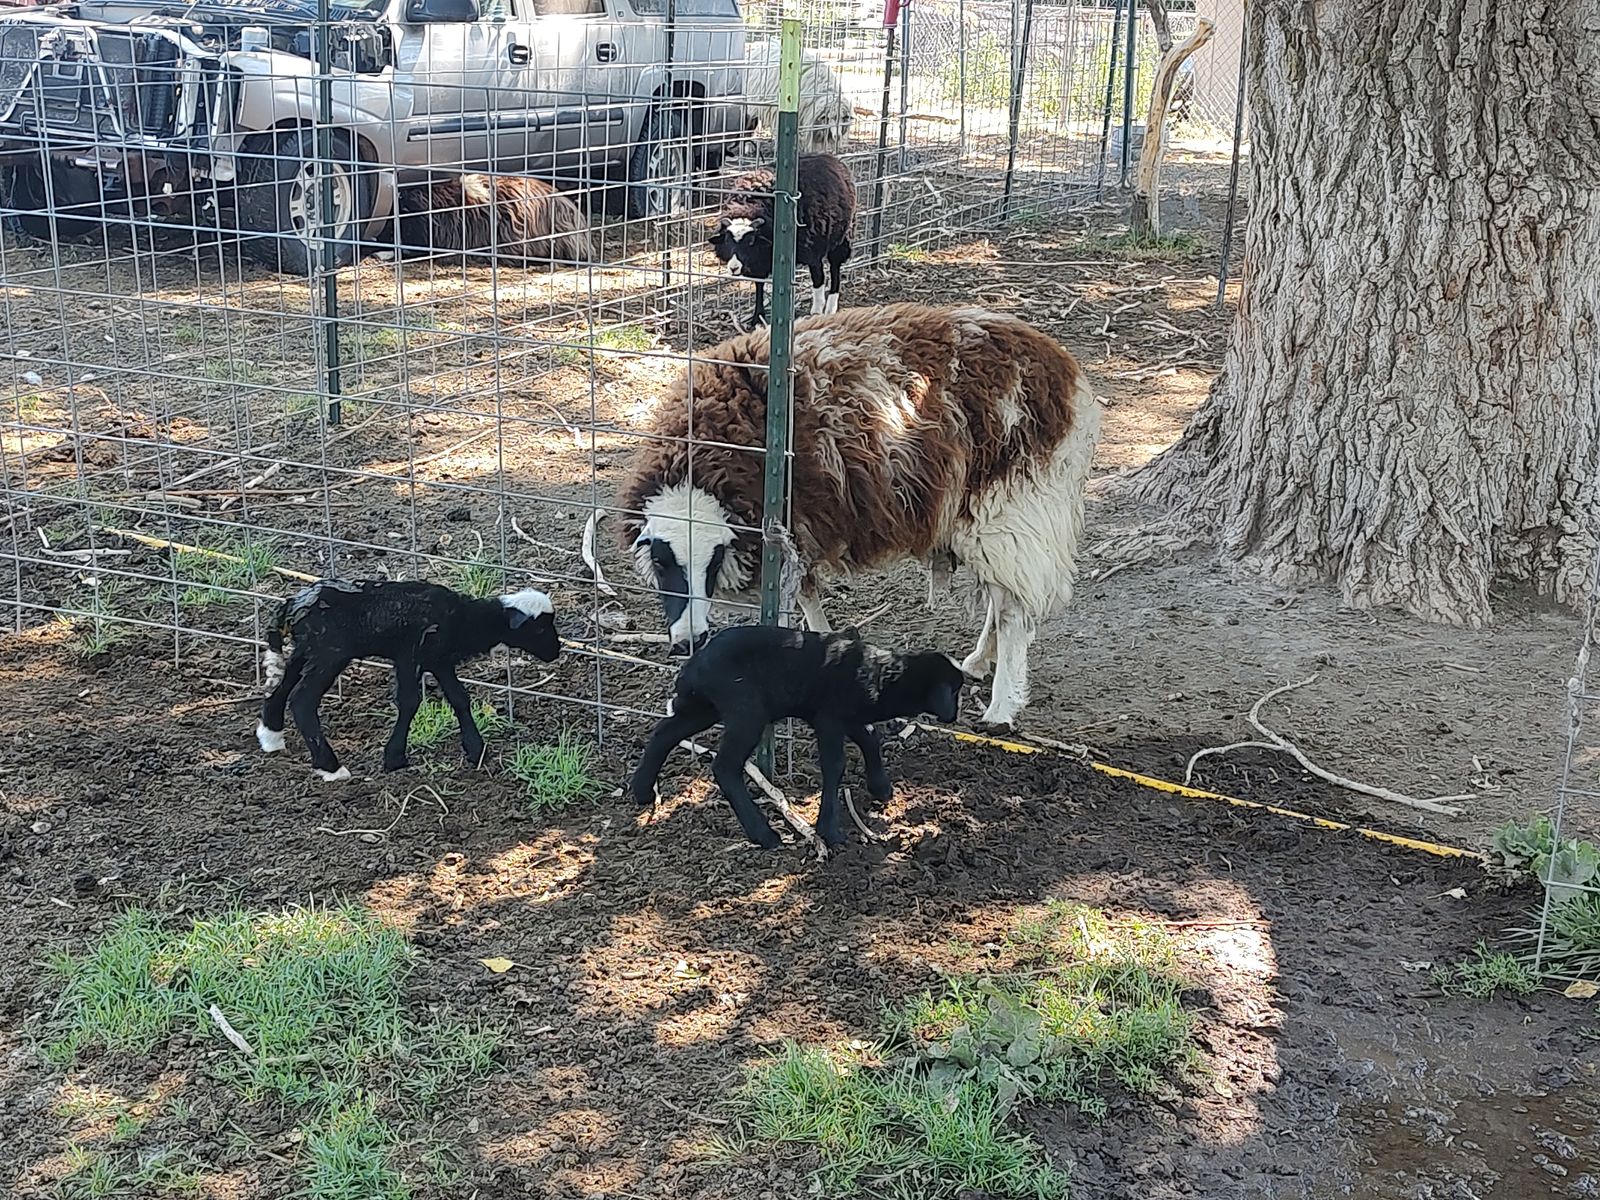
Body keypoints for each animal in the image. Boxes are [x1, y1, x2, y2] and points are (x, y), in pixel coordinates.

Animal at [255, 579, 559, 781]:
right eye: (540, 628)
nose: (556, 652)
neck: (465, 618)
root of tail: (292, 605)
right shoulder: (409, 654)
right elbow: (410, 701)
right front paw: (394, 758)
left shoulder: (439, 659)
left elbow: (459, 698)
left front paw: (476, 750)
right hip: (329, 654)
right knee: (302, 700)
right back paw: (330, 767)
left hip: (306, 650)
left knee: (281, 688)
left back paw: (271, 736)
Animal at [616, 303, 1100, 730]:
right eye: (660, 559)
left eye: (715, 557)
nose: (689, 640)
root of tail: (1067, 374)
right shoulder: (799, 533)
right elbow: (809, 598)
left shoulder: (792, 529)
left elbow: (794, 601)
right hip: (993, 516)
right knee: (1003, 599)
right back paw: (979, 661)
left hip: (1011, 503)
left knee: (1015, 610)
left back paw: (1002, 707)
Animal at [630, 625, 966, 849]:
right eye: (954, 689)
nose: (954, 714)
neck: (883, 676)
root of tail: (694, 665)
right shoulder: (829, 717)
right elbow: (835, 765)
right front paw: (829, 830)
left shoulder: (848, 717)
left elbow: (870, 739)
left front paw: (881, 788)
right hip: (746, 710)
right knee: (725, 766)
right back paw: (764, 834)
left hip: (704, 707)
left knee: (665, 732)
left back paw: (642, 791)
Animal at [708, 153, 856, 330]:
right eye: (727, 241)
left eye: (751, 241)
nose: (734, 267)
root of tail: (833, 160)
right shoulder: (760, 261)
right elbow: (759, 286)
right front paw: (757, 317)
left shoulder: (811, 251)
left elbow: (818, 278)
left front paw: (817, 311)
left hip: (840, 239)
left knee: (834, 268)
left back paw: (829, 307)